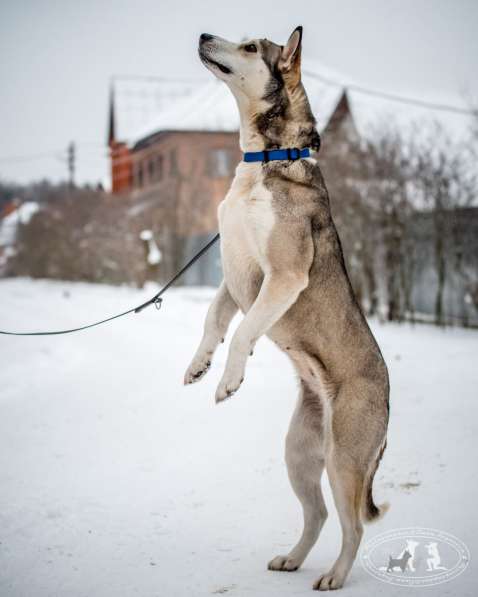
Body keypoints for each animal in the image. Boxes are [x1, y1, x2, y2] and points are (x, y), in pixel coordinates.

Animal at [185, 25, 390, 588]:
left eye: (252, 47)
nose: (203, 34)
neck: (269, 159)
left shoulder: (280, 277)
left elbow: (242, 330)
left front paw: (229, 378)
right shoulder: (234, 274)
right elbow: (214, 319)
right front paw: (199, 365)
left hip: (344, 459)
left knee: (352, 525)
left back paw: (335, 577)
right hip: (299, 454)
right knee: (316, 514)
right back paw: (293, 559)